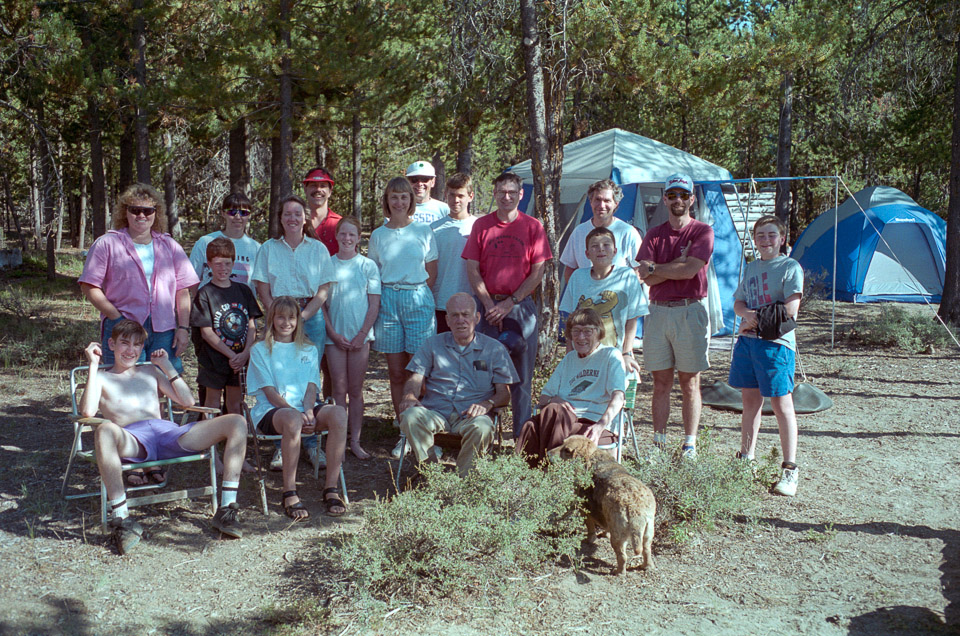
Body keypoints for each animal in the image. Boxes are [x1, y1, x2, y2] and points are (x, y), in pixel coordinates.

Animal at [560, 434, 656, 572]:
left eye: (567, 450)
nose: (549, 453)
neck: (590, 456)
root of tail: (635, 509)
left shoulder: (585, 510)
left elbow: (590, 529)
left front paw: (589, 539)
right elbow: (605, 528)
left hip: (618, 537)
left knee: (622, 556)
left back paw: (618, 572)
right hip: (648, 532)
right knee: (646, 550)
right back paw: (647, 567)